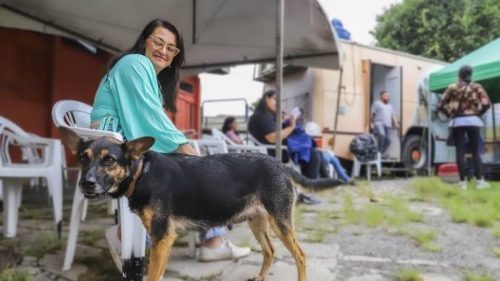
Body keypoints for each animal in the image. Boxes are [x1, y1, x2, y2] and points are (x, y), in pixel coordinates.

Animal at [57, 127, 340, 280]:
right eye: (83, 158)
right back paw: (260, 277)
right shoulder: (158, 239)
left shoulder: (163, 237)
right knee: (269, 250)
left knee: (300, 255)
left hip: (279, 221)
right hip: (257, 221)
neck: (141, 172)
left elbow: (154, 275)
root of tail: (280, 164)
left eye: (109, 160)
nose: (86, 184)